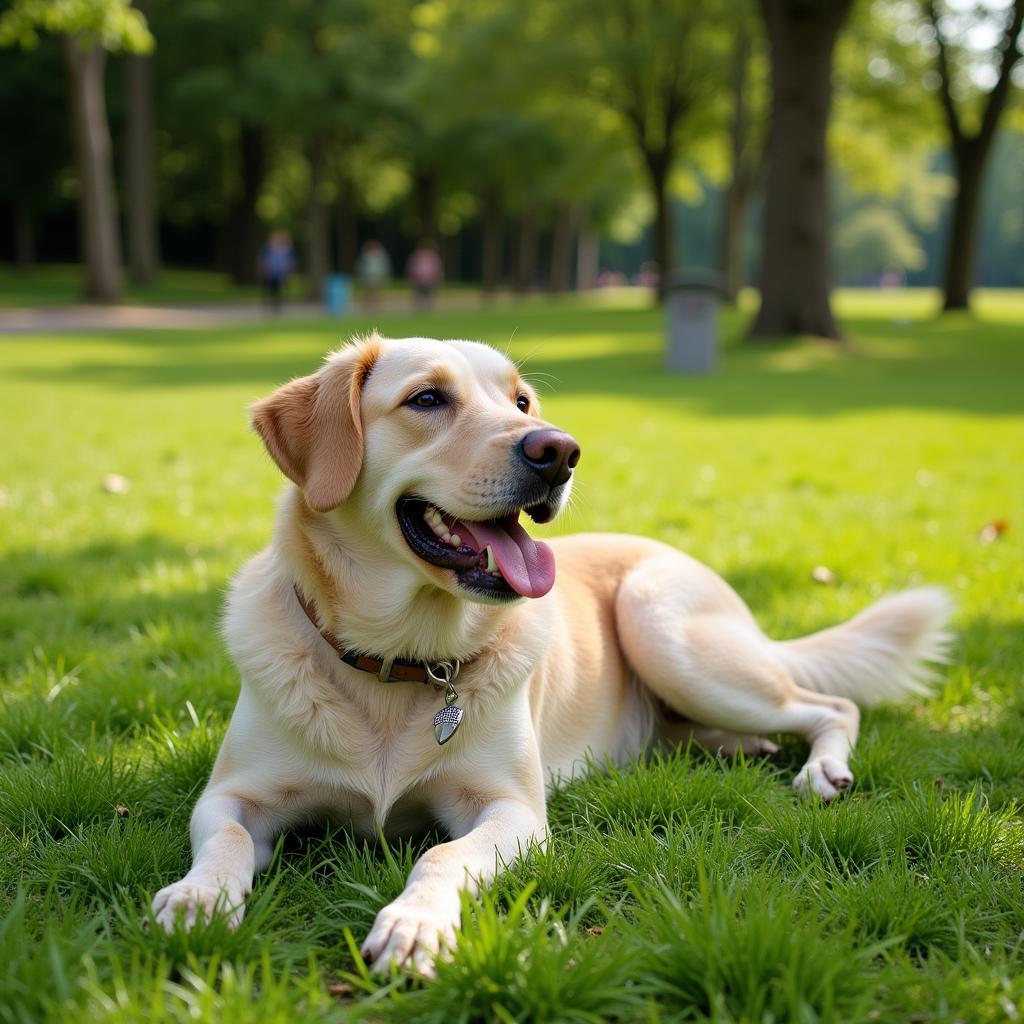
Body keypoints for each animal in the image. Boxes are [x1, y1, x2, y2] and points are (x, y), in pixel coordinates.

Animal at [151, 331, 950, 970]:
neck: (400, 659)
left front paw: (415, 925)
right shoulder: (232, 795)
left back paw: (821, 770)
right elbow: (225, 842)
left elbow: (442, 854)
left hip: (664, 626)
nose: (559, 451)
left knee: (830, 704)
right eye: (426, 399)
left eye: (522, 401)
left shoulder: (510, 813)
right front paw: (197, 898)